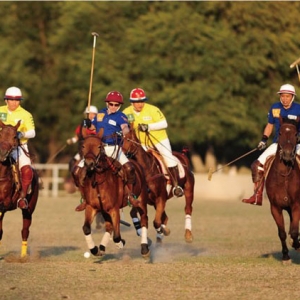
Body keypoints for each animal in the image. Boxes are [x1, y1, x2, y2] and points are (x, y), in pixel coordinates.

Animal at [0, 119, 39, 258]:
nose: (2, 153)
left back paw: (23, 257)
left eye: (14, 137)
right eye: (0, 134)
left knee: (25, 231)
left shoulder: (3, 204)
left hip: (29, 208)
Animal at [75, 127, 149, 258]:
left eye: (99, 146)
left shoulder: (114, 209)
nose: (89, 164)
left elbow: (117, 236)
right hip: (104, 210)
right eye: (83, 146)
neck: (99, 182)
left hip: (141, 200)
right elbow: (86, 228)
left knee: (144, 220)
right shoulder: (92, 207)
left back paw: (145, 248)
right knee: (109, 226)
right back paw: (102, 247)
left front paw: (120, 243)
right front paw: (95, 250)